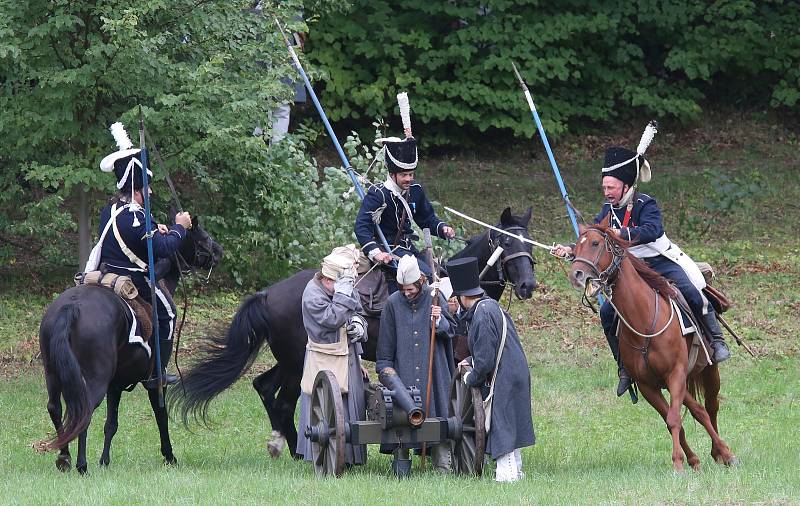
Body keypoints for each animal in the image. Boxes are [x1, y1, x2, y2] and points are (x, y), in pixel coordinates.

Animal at [38, 216, 222, 474]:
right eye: (202, 236)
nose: (218, 252)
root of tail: (71, 306)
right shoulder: (154, 381)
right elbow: (160, 414)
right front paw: (169, 456)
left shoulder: (115, 384)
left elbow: (111, 424)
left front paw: (105, 460)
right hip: (94, 378)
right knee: (84, 410)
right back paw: (81, 465)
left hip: (53, 374)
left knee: (55, 408)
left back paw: (64, 457)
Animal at [175, 206, 536, 458]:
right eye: (505, 241)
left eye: (527, 243)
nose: (528, 285)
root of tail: (267, 294)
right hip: (297, 364)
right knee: (283, 401)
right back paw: (298, 450)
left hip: (289, 361)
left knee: (263, 386)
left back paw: (282, 444)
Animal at [568, 224, 736, 470]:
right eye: (575, 246)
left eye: (595, 243)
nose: (576, 274)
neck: (645, 320)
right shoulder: (648, 386)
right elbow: (671, 420)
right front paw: (688, 460)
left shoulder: (675, 374)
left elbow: (676, 418)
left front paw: (680, 463)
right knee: (698, 409)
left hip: (709, 369)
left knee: (710, 407)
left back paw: (722, 452)